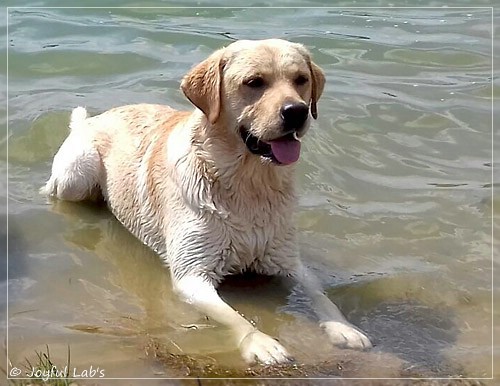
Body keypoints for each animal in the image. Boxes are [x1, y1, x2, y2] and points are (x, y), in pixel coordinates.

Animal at [42, 39, 372, 364]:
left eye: (301, 80)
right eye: (254, 82)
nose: (297, 112)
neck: (248, 183)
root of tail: (91, 119)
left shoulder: (287, 261)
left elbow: (320, 294)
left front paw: (345, 328)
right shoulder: (192, 275)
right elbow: (234, 315)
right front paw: (261, 342)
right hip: (77, 174)